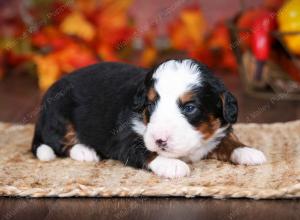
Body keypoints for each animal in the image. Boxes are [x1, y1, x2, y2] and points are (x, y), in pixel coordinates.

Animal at [31, 59, 266, 178]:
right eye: (151, 105)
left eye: (190, 107)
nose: (160, 139)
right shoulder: (124, 138)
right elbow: (145, 150)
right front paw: (172, 165)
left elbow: (228, 139)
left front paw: (247, 151)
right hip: (59, 113)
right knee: (58, 142)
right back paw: (84, 151)